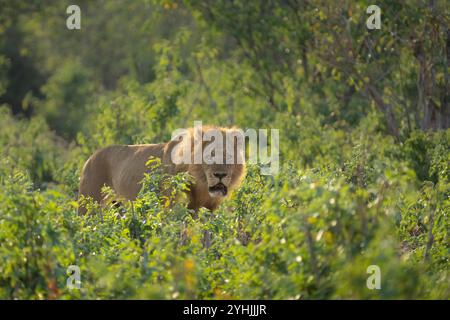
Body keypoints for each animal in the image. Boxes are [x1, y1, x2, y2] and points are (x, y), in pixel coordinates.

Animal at [78, 126, 246, 214]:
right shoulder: (171, 206)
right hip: (88, 203)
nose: (220, 175)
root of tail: (90, 157)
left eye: (229, 156)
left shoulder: (208, 207)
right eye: (209, 155)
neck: (201, 185)